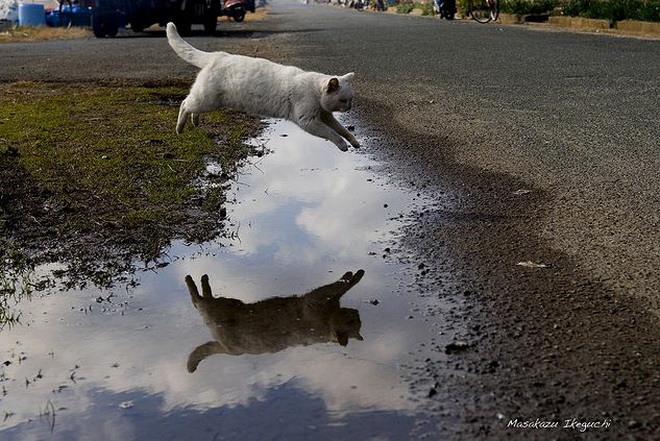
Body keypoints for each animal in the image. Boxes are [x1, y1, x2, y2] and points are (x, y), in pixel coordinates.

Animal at [165, 23, 360, 152]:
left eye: (351, 100)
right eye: (344, 100)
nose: (350, 107)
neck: (316, 94)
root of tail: (218, 55)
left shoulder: (326, 116)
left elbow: (341, 129)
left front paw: (354, 142)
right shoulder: (309, 121)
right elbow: (332, 133)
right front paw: (343, 145)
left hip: (207, 101)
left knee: (193, 109)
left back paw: (195, 122)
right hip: (206, 99)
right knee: (184, 104)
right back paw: (179, 129)